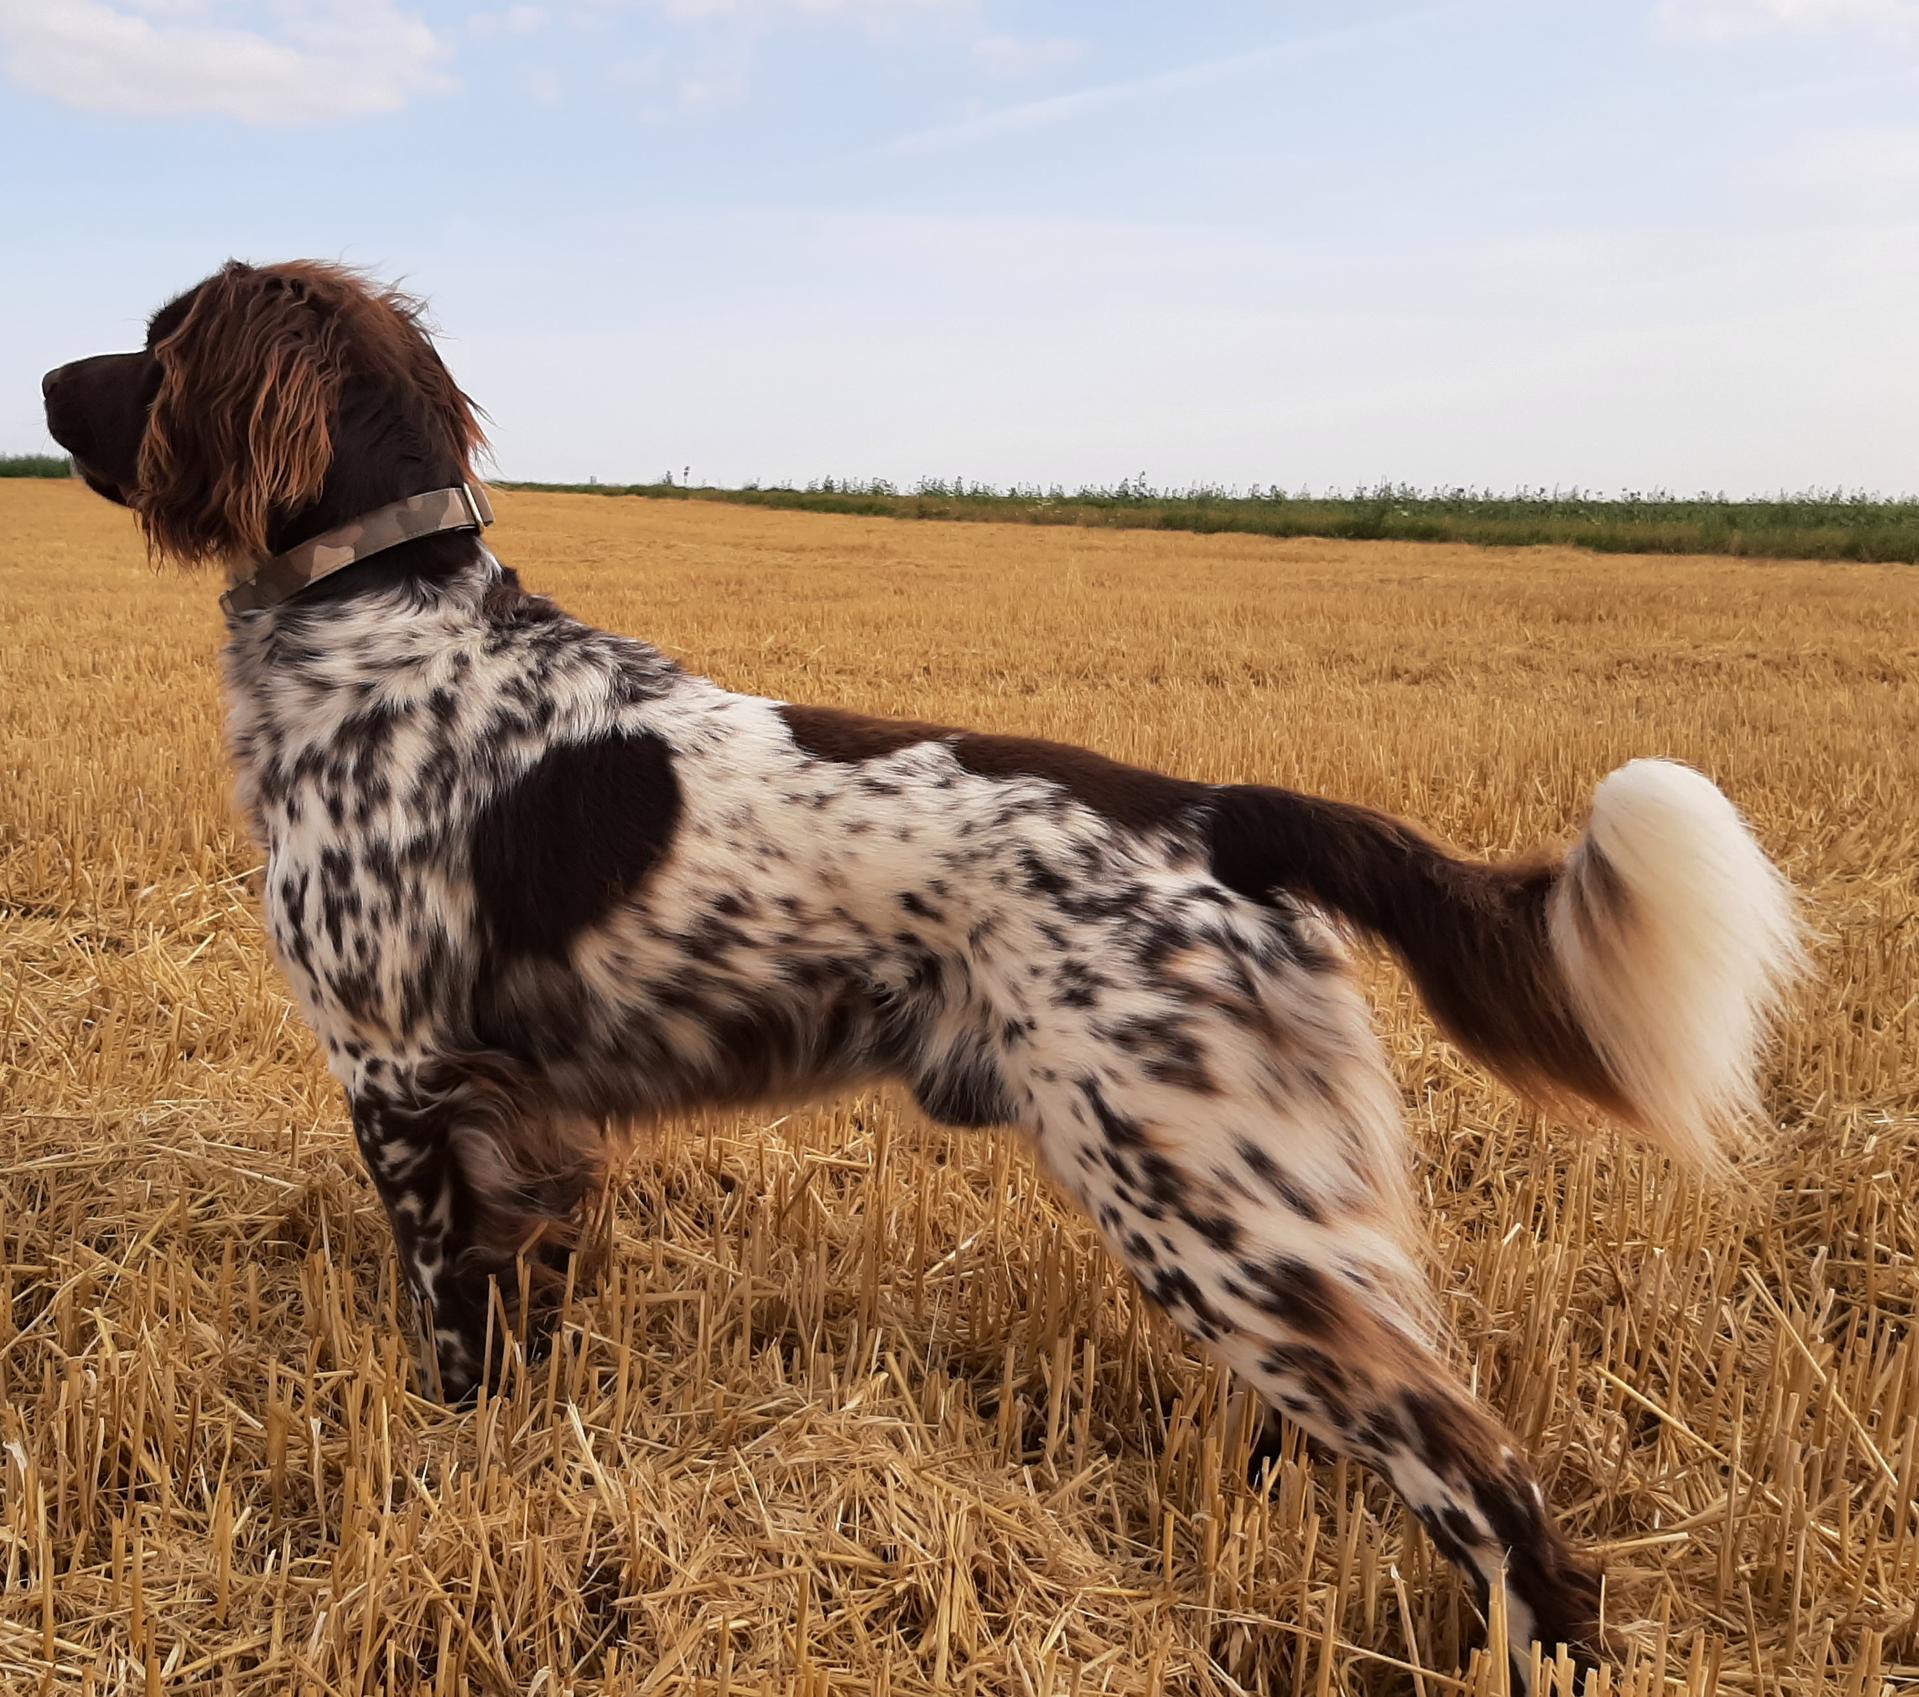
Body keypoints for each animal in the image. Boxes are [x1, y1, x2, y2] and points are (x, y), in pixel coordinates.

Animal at [41, 259, 1811, 1689]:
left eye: (161, 336)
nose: (45, 385)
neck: (381, 615)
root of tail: (1219, 811)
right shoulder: (528, 1122)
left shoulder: (405, 1075)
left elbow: (448, 1329)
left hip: (1199, 1203)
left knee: (1489, 1484)